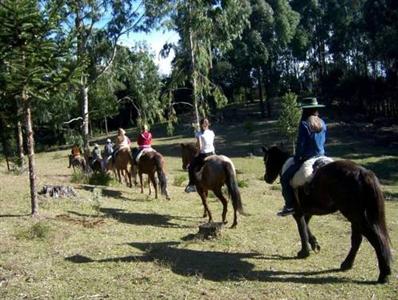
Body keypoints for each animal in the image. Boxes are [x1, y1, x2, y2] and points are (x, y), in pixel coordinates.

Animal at [262, 145, 392, 284]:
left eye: (266, 160)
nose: (266, 178)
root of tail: (363, 172)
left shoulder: (298, 211)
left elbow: (302, 229)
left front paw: (304, 252)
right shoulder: (308, 211)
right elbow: (306, 226)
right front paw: (314, 244)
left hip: (354, 215)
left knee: (375, 239)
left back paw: (384, 274)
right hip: (356, 216)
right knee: (357, 239)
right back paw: (347, 264)